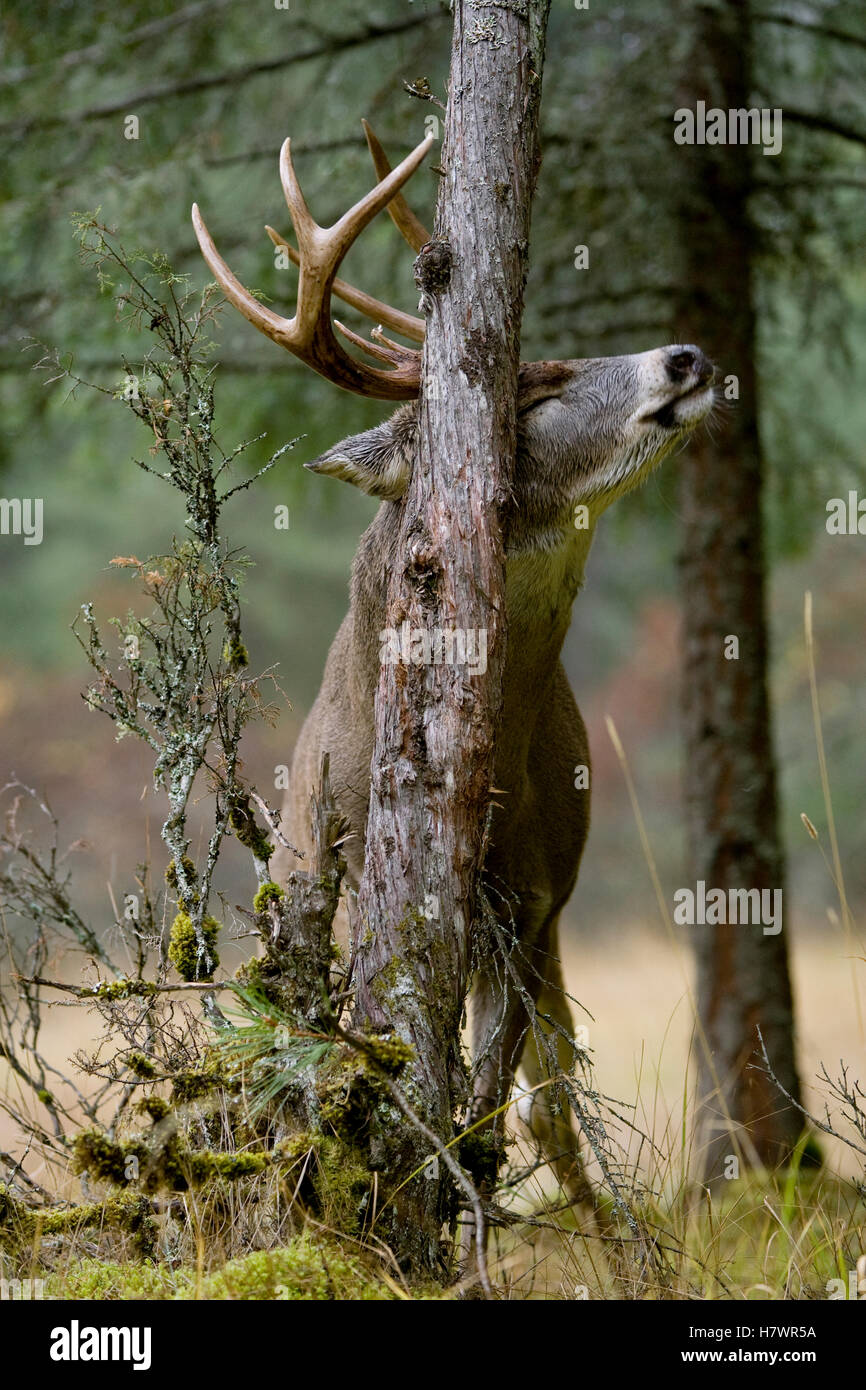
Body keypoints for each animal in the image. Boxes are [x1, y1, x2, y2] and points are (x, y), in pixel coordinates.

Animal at [192, 124, 714, 1214]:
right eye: (536, 395)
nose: (684, 353)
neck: (499, 767)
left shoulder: (536, 897)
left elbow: (504, 1101)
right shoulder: (349, 871)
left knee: (553, 1094)